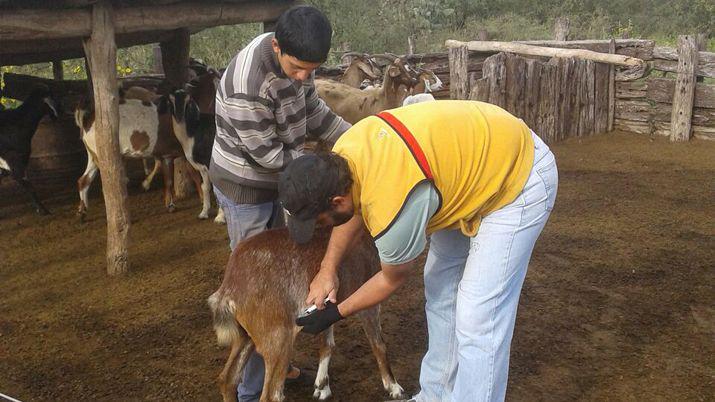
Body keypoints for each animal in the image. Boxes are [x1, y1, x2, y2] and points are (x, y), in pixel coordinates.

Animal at [210, 228, 406, 400]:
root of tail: (229, 288)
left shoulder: (325, 307)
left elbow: (327, 344)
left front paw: (322, 388)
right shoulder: (368, 295)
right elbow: (378, 344)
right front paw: (394, 387)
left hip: (245, 334)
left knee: (227, 380)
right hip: (277, 337)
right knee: (271, 395)